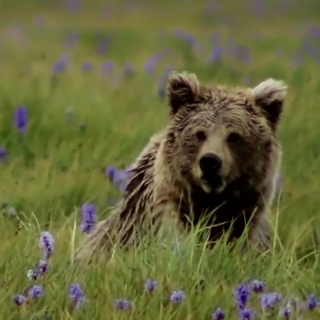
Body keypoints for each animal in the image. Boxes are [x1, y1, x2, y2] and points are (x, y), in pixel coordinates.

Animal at [75, 71, 288, 262]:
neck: (211, 204)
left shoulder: (250, 223)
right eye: (200, 133)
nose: (210, 161)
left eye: (234, 136)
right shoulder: (163, 217)